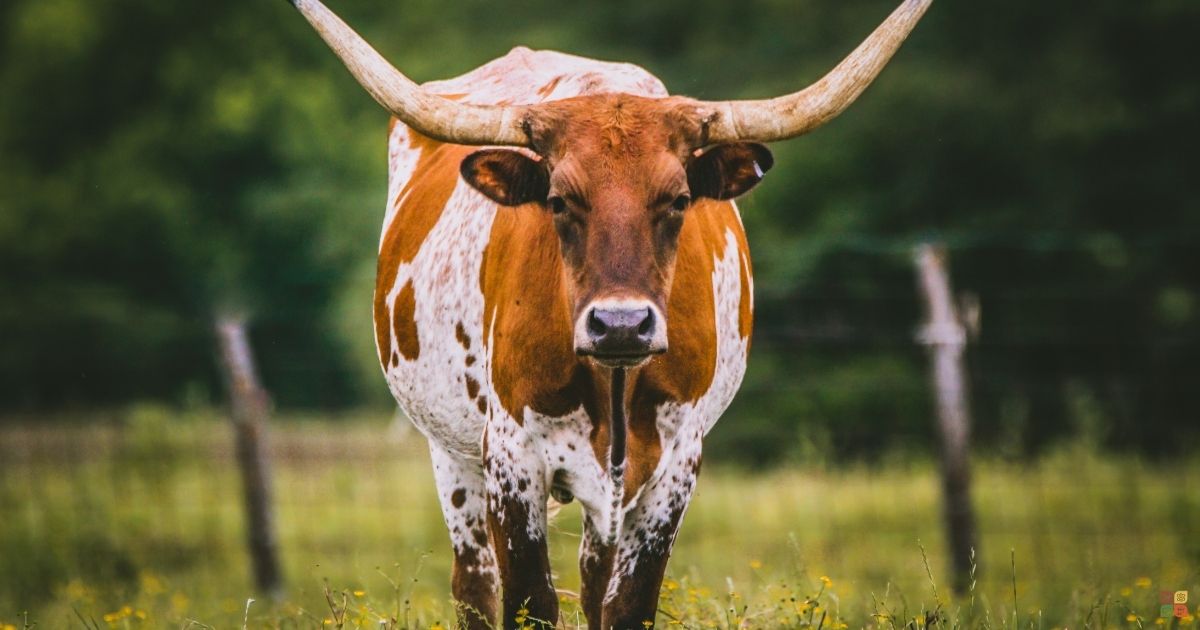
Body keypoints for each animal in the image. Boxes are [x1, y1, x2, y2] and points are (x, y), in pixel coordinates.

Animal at [285, 0, 931, 627]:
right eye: (558, 200)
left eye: (678, 199)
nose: (621, 324)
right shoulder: (511, 458)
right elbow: (529, 604)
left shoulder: (676, 464)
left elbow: (627, 606)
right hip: (451, 451)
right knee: (474, 586)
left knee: (593, 585)